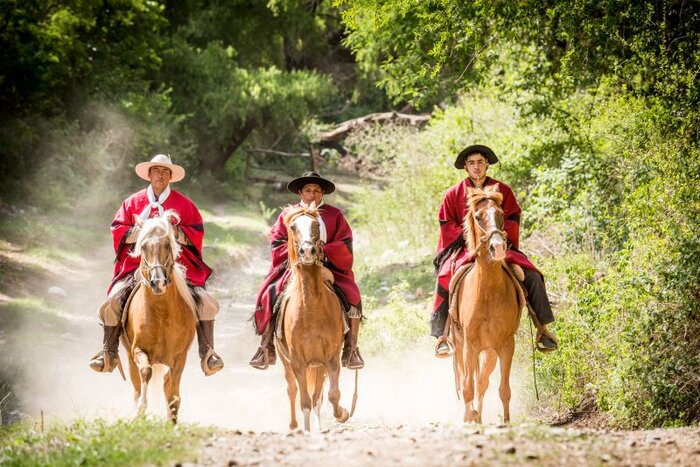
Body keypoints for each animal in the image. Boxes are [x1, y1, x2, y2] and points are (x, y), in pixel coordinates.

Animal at [120, 211, 197, 424]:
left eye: (168, 245)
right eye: (143, 246)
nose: (158, 282)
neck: (161, 313)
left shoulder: (179, 357)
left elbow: (173, 394)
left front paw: (172, 422)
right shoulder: (138, 350)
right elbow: (146, 372)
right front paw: (141, 409)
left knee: (167, 385)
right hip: (130, 358)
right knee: (138, 385)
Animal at [274, 207, 350, 434]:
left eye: (316, 224)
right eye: (292, 227)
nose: (307, 252)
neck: (311, 310)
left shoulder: (330, 358)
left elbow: (330, 395)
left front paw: (341, 414)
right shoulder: (298, 362)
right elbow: (304, 400)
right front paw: (306, 431)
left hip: (317, 366)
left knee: (318, 395)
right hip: (286, 361)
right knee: (292, 389)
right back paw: (294, 425)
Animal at [452, 186, 524, 424]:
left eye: (501, 214)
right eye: (477, 216)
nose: (498, 247)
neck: (487, 293)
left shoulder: (505, 344)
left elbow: (503, 389)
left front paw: (506, 422)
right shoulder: (470, 344)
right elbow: (467, 387)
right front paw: (469, 419)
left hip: (490, 352)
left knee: (483, 381)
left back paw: (478, 415)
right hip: (461, 347)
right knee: (468, 381)